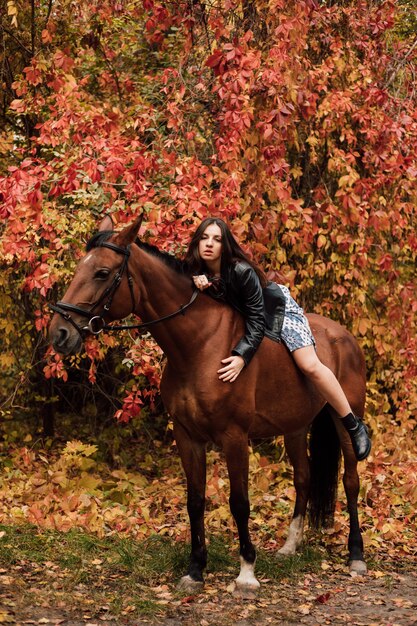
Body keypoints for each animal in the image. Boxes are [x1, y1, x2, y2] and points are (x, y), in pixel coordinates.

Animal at [48, 217, 368, 592]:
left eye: (101, 273)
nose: (59, 333)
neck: (199, 345)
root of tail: (345, 336)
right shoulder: (187, 436)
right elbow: (195, 501)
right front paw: (195, 569)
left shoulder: (234, 437)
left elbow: (239, 502)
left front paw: (246, 573)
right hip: (295, 426)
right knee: (303, 477)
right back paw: (290, 546)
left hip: (343, 417)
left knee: (351, 479)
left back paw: (356, 555)